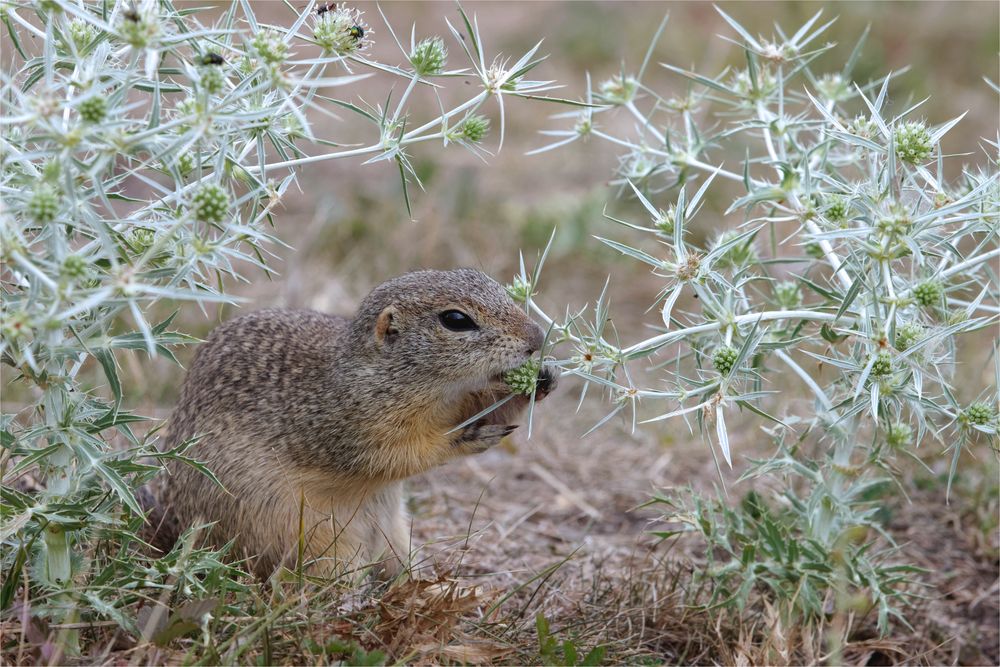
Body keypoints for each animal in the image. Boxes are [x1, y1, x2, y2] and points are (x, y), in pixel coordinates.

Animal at [149, 268, 560, 580]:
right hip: (319, 543)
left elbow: (484, 408)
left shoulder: (458, 401)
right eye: (456, 320)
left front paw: (540, 379)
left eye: (497, 287)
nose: (537, 336)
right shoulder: (354, 425)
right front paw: (462, 438)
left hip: (396, 538)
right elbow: (399, 455)